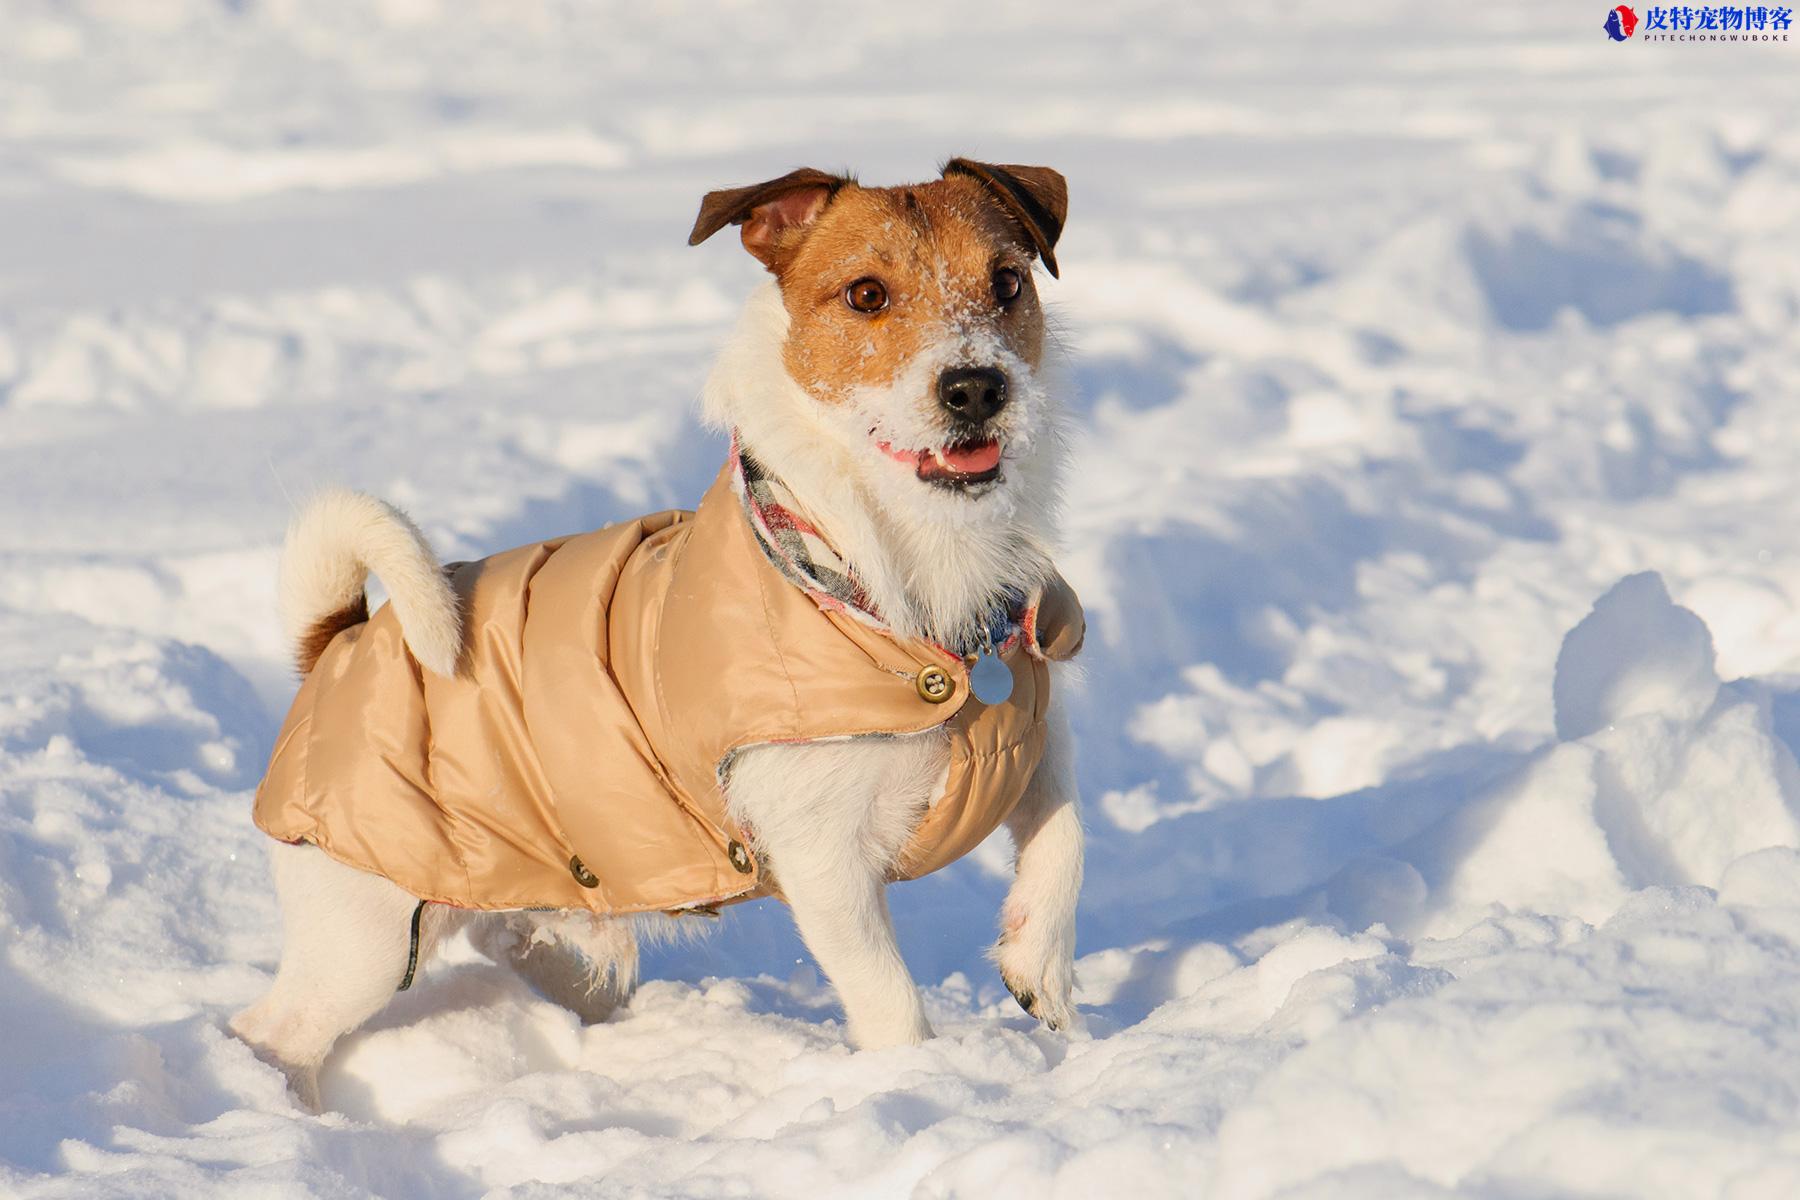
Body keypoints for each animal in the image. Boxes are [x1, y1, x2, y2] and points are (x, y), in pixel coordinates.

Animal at [234, 157, 1087, 1108]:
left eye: (1007, 282)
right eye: (866, 294)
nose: (976, 386)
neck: (893, 579)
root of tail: (337, 643)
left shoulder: (1033, 740)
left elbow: (1067, 839)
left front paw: (1038, 967)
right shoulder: (823, 858)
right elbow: (887, 993)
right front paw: (920, 1077)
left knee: (504, 934)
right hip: (366, 931)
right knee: (274, 1029)